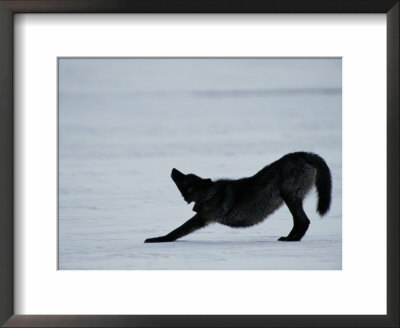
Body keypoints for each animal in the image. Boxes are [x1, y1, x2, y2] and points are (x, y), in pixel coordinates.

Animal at [144, 152, 332, 242]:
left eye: (186, 178)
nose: (173, 170)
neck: (207, 194)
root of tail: (302, 154)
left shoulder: (201, 218)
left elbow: (176, 231)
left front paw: (157, 239)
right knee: (301, 222)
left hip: (290, 197)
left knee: (303, 221)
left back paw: (290, 240)